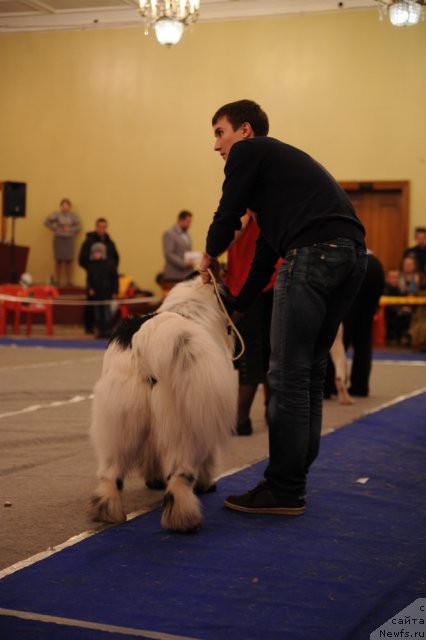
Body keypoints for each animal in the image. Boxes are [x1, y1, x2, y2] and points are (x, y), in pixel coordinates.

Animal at [86, 274, 236, 528]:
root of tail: (147, 335)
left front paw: (153, 480)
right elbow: (208, 456)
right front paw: (207, 483)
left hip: (119, 417)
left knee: (111, 473)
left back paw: (107, 511)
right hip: (181, 422)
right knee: (179, 475)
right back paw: (184, 519)